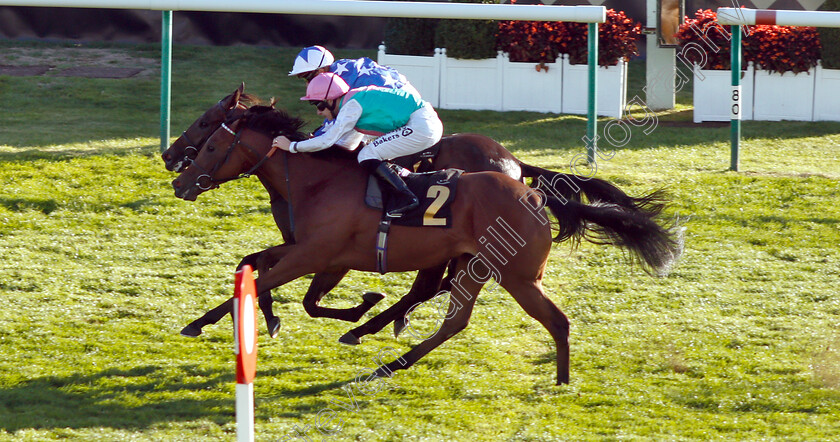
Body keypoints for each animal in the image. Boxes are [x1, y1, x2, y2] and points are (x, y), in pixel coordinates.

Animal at [169, 107, 684, 384]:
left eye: (210, 141)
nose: (178, 177)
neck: (318, 180)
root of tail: (532, 190)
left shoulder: (316, 255)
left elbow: (271, 284)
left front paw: (205, 323)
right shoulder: (310, 251)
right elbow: (258, 269)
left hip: (514, 275)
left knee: (541, 319)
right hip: (476, 266)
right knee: (457, 317)